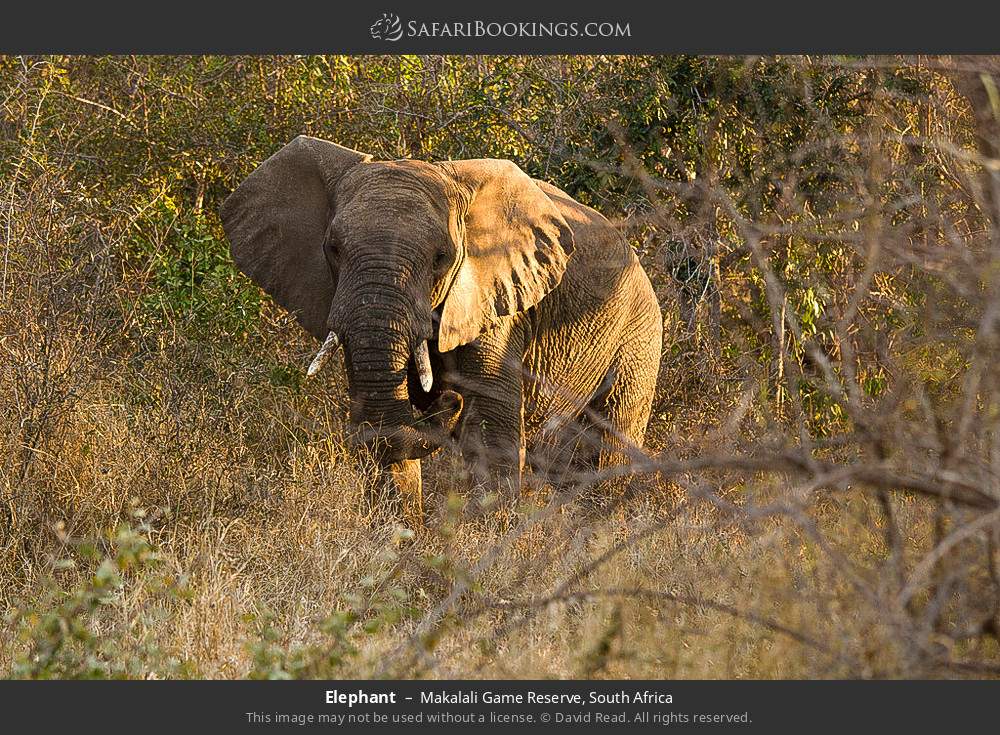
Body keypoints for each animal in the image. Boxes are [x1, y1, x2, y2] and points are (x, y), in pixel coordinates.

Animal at [226, 135, 664, 520]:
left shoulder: (495, 304)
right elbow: (383, 427)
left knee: (603, 450)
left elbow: (488, 428)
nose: (447, 399)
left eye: (441, 257)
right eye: (332, 249)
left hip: (638, 335)